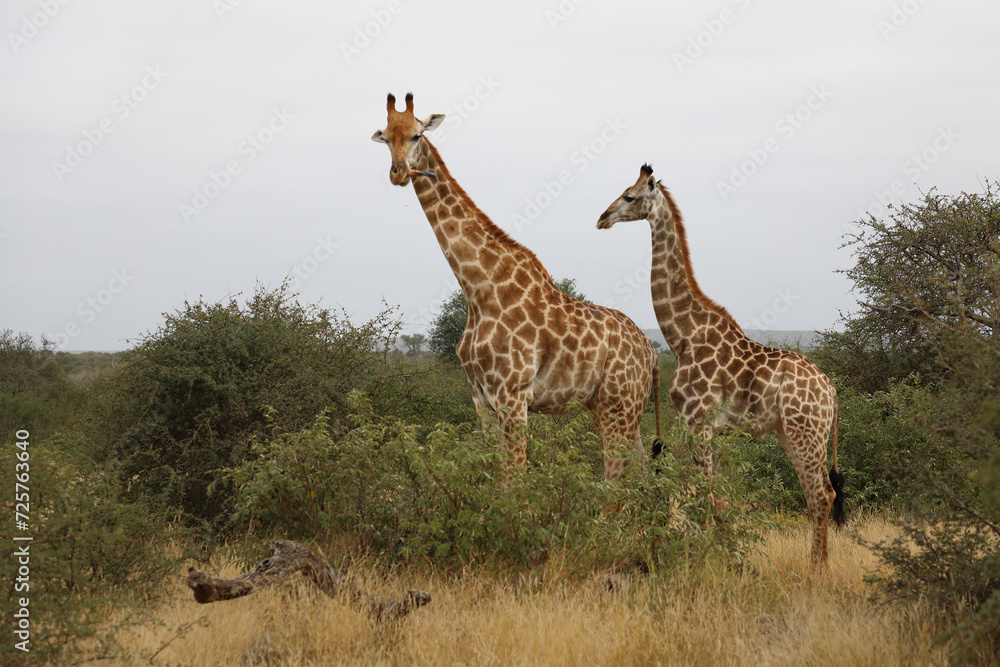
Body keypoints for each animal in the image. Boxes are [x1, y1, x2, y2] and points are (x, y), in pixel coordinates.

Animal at [372, 93, 661, 480]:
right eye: (387, 138)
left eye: (417, 135)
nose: (399, 173)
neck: (479, 287)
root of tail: (651, 353)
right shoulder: (480, 397)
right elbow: (497, 475)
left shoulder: (513, 394)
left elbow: (515, 479)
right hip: (613, 406)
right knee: (641, 471)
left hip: (619, 405)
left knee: (615, 475)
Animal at [597, 164, 845, 565]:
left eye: (629, 196)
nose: (602, 218)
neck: (682, 337)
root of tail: (833, 392)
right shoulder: (710, 429)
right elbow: (716, 498)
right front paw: (725, 560)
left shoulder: (697, 422)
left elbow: (704, 497)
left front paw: (706, 562)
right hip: (792, 432)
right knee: (819, 493)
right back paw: (819, 564)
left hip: (805, 431)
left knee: (822, 494)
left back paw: (816, 569)